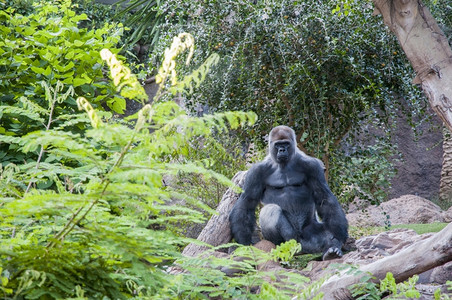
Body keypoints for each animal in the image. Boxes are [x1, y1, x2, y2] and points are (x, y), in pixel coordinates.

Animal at [230, 125, 350, 260]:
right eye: (278, 144)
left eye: (286, 144)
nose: (282, 150)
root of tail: (301, 248)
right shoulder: (255, 172)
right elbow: (247, 202)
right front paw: (244, 242)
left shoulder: (313, 166)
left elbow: (324, 198)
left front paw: (338, 237)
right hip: (291, 241)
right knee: (271, 211)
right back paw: (280, 247)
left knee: (324, 233)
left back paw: (331, 250)